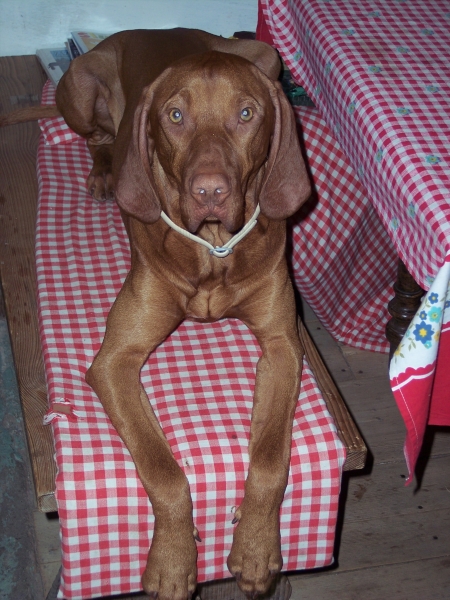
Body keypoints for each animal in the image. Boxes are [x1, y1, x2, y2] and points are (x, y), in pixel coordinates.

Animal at [2, 28, 311, 599]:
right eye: (175, 115)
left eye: (247, 113)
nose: (209, 191)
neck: (213, 249)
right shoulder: (114, 362)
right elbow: (165, 471)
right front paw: (171, 559)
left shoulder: (284, 346)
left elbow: (269, 460)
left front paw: (257, 547)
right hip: (80, 87)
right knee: (97, 137)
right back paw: (105, 171)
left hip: (268, 56)